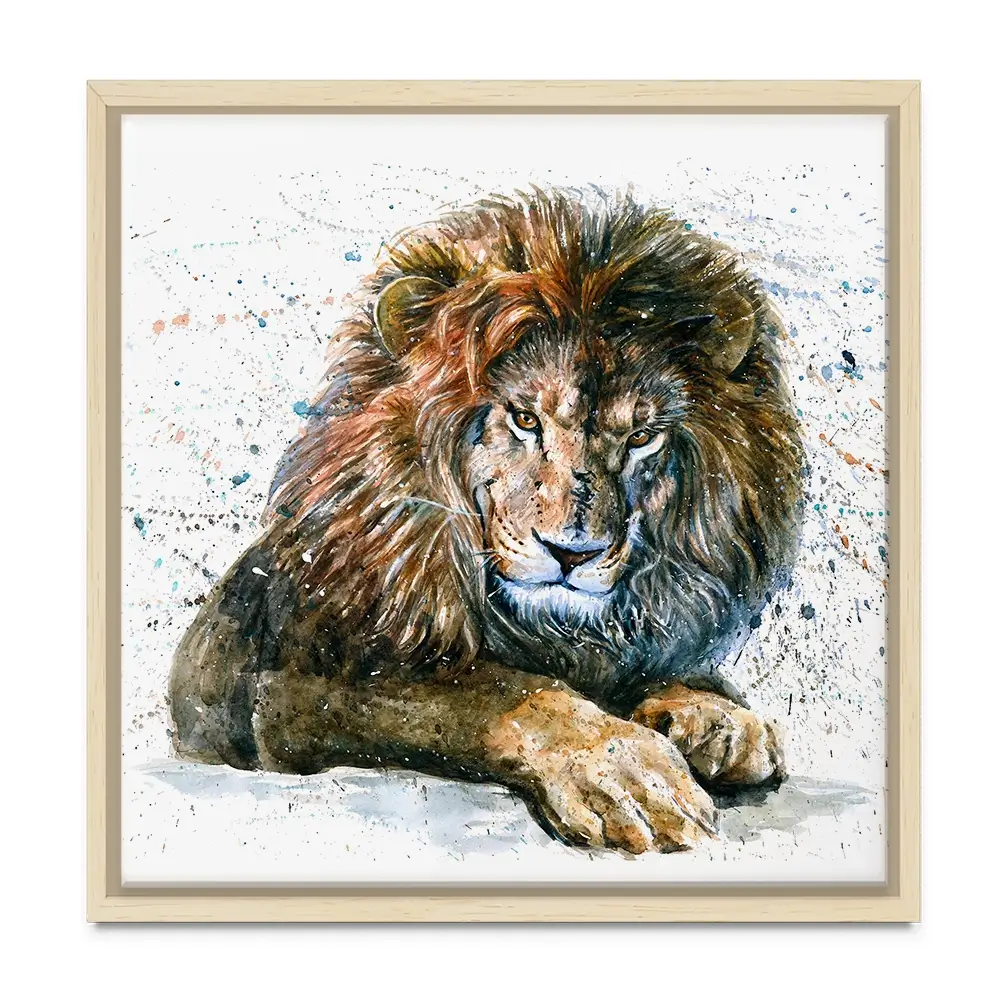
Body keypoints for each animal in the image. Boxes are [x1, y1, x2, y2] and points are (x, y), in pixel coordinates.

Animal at [169, 188, 804, 854]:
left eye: (641, 438)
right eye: (524, 418)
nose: (572, 554)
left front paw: (718, 717)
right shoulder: (286, 686)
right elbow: (504, 692)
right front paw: (626, 771)